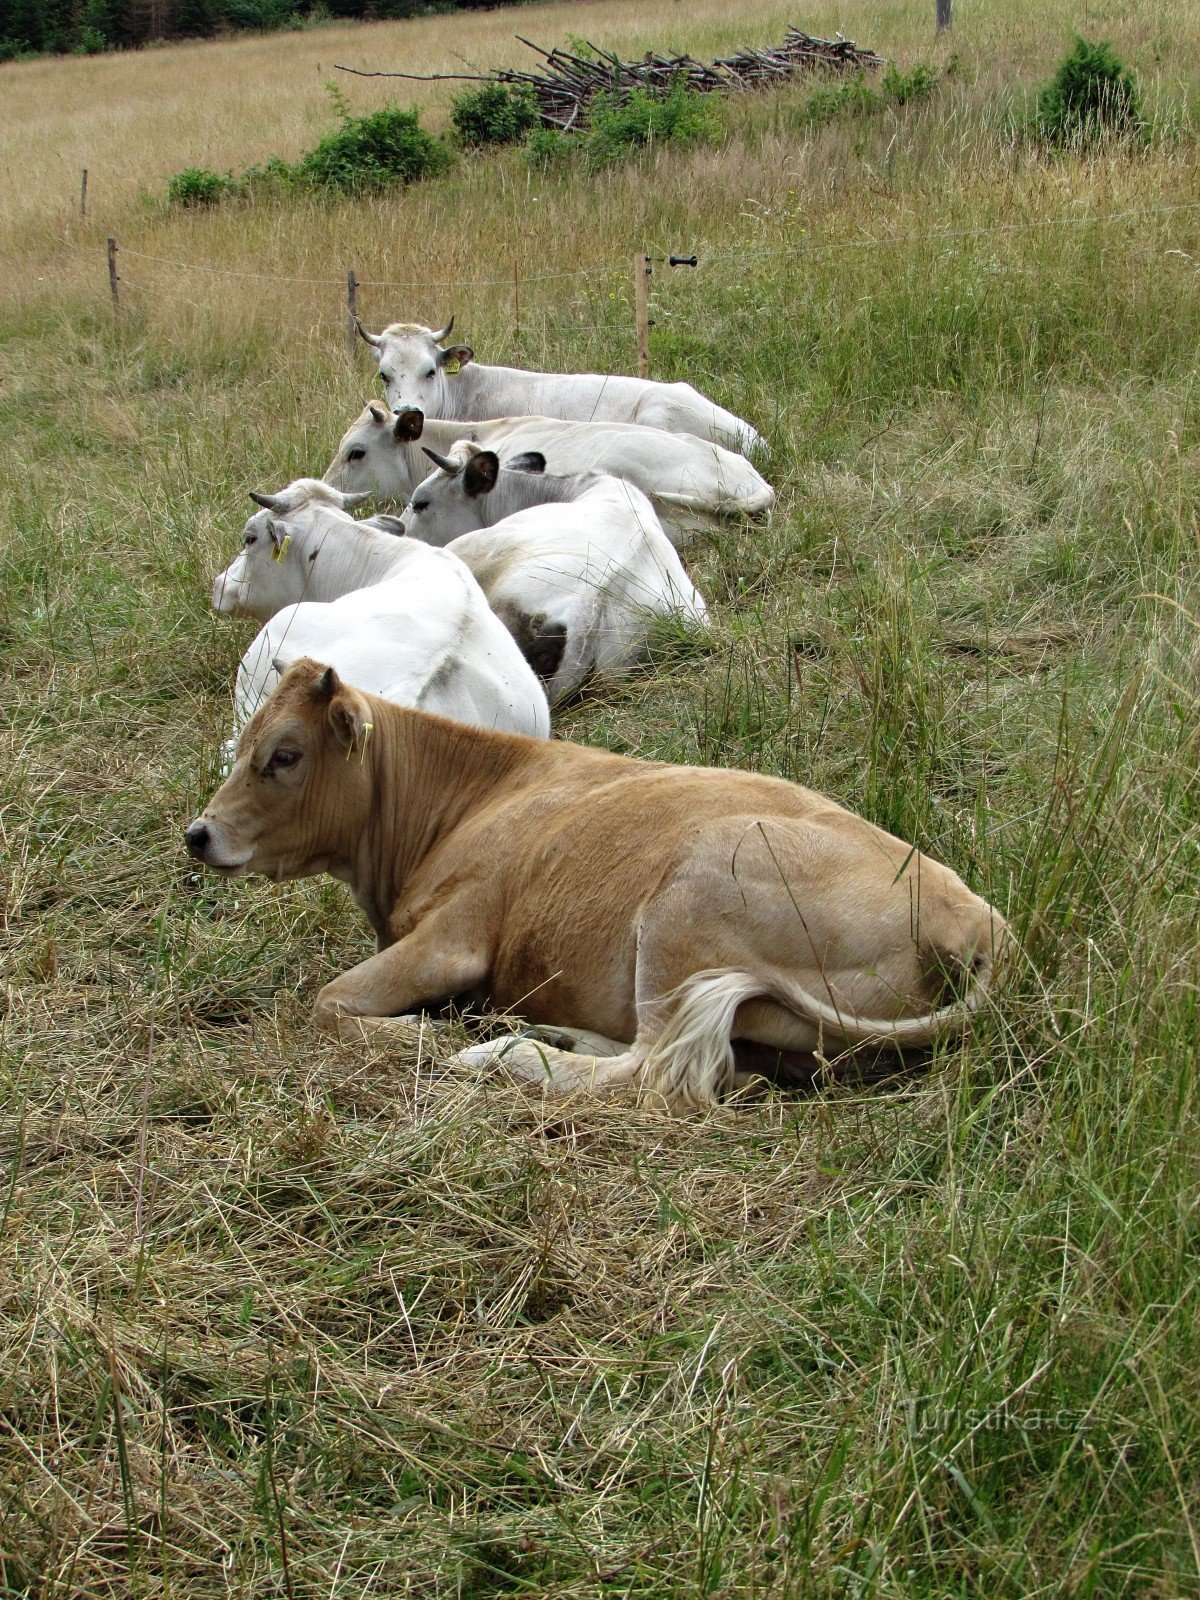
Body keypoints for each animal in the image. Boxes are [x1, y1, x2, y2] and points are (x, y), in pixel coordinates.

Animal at [185, 656, 1017, 1107]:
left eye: (284, 755)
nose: (198, 833)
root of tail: (980, 919)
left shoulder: (454, 937)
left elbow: (328, 1004)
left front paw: (429, 1035)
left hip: (690, 901)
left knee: (652, 1068)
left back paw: (501, 1055)